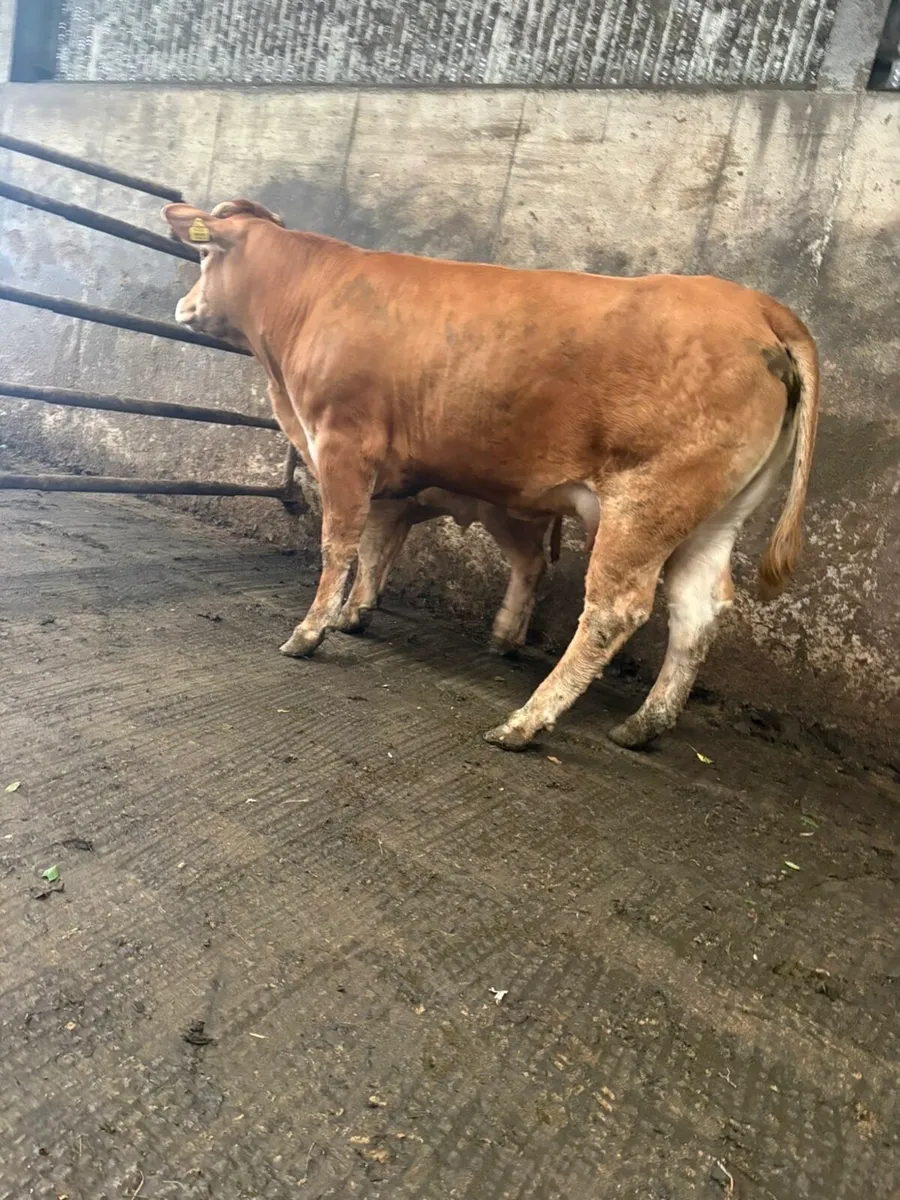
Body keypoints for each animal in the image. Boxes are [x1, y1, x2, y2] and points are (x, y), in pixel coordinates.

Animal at [163, 199, 819, 751]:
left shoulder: (344, 444)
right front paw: (353, 615)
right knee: (699, 607)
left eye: (203, 254)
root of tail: (754, 304)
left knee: (615, 608)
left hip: (648, 503)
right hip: (714, 515)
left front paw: (309, 632)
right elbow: (374, 546)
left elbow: (339, 545)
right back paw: (641, 725)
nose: (183, 307)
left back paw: (526, 721)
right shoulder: (386, 477)